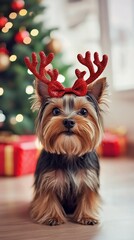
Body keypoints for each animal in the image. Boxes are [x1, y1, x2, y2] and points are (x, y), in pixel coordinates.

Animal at [24, 50, 108, 225]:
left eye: (83, 111)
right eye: (55, 111)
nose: (69, 121)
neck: (69, 152)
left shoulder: (88, 179)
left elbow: (88, 197)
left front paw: (87, 216)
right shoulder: (47, 180)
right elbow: (48, 198)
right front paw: (52, 217)